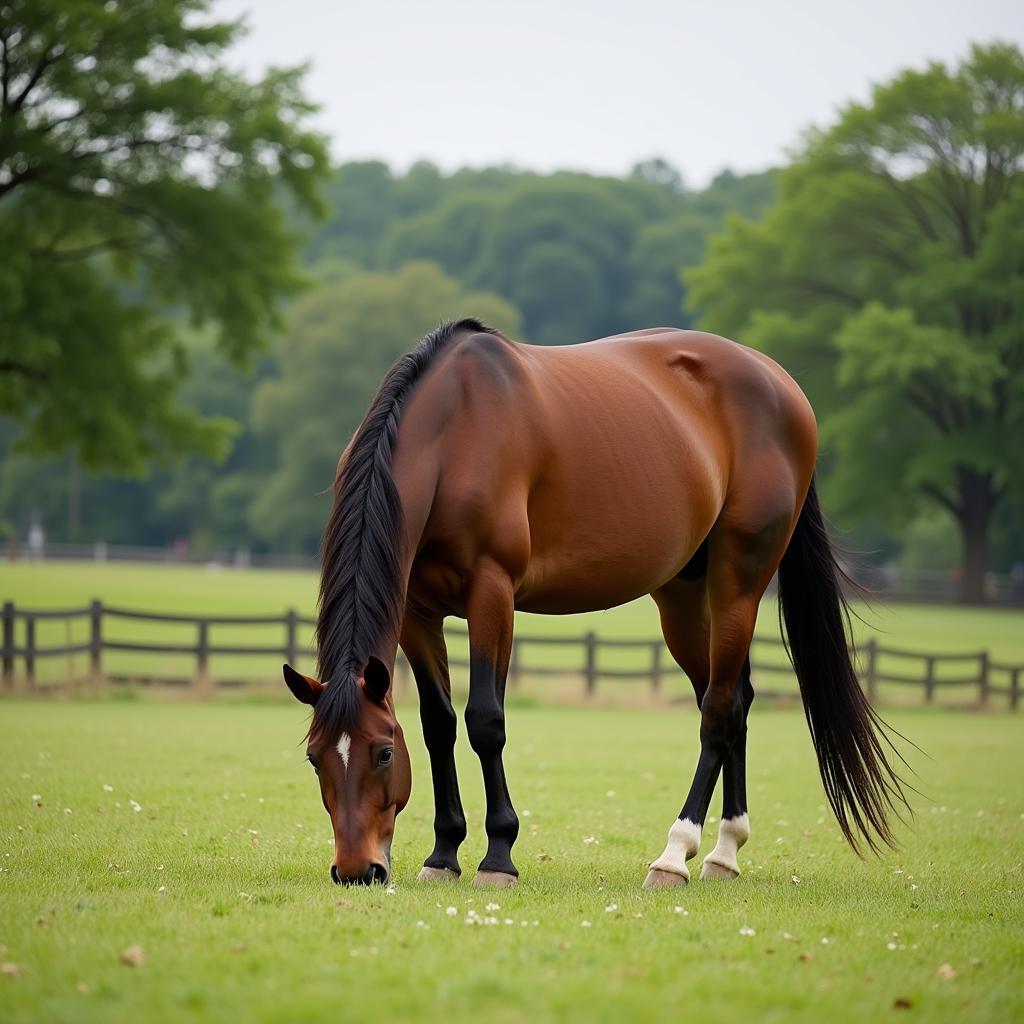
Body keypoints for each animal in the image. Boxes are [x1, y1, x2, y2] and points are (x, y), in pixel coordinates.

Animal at [284, 317, 909, 888]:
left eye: (383, 754)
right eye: (314, 756)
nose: (356, 870)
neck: (453, 434)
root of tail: (781, 384)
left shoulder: (492, 593)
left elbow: (486, 720)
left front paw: (498, 857)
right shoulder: (417, 610)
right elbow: (439, 724)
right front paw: (443, 855)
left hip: (740, 584)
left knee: (718, 710)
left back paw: (674, 855)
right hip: (683, 597)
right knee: (734, 700)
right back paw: (724, 853)